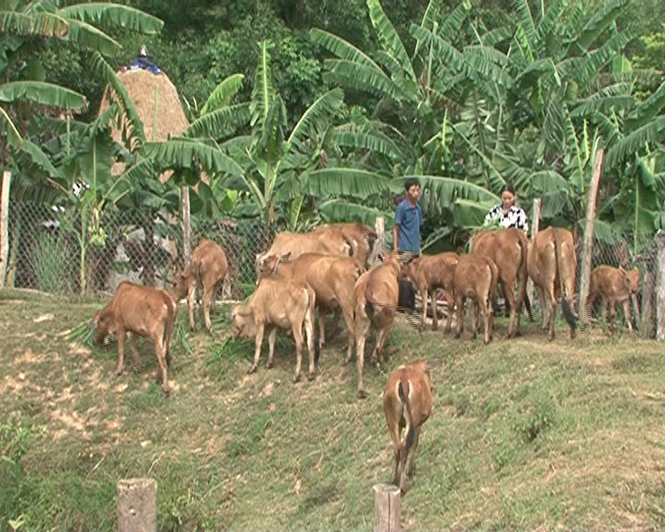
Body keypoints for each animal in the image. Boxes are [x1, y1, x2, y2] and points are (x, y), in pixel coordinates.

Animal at [352, 251, 410, 396]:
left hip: (361, 322)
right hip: (388, 320)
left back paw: (361, 389)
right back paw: (384, 366)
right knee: (379, 346)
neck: (389, 264)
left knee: (359, 355)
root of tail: (367, 292)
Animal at [382, 360, 434, 492]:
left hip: (392, 421)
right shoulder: (418, 424)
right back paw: (403, 485)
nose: (432, 387)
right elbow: (415, 443)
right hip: (412, 420)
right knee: (405, 446)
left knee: (397, 447)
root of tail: (403, 379)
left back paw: (395, 480)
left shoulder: (401, 424)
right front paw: (412, 469)